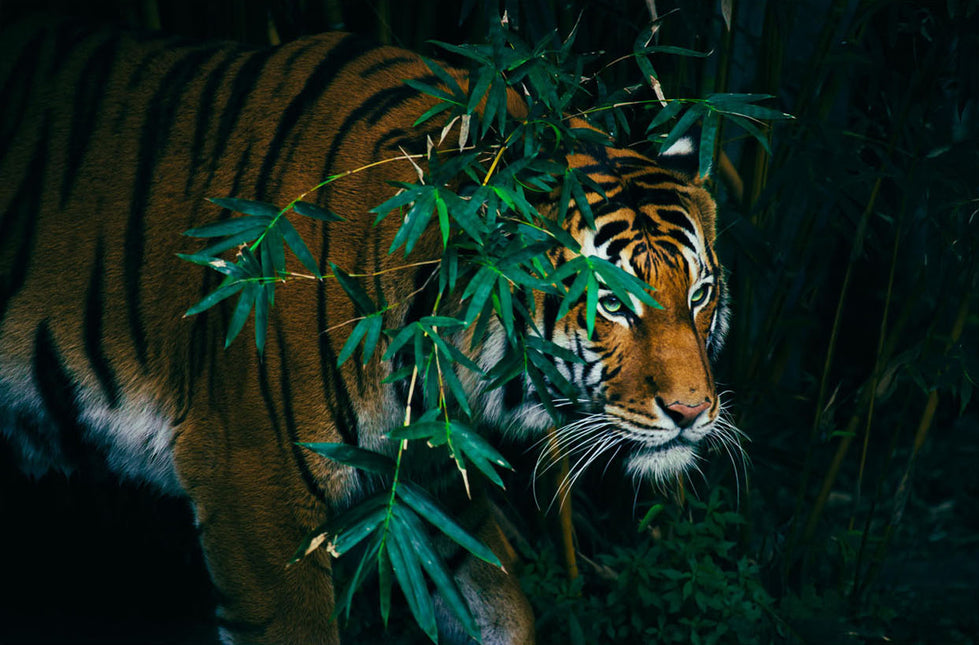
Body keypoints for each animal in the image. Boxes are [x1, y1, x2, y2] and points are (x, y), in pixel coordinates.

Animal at [0, 15, 731, 645]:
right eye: (609, 303)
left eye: (699, 294)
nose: (693, 412)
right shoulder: (251, 490)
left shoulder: (429, 486)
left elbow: (498, 607)